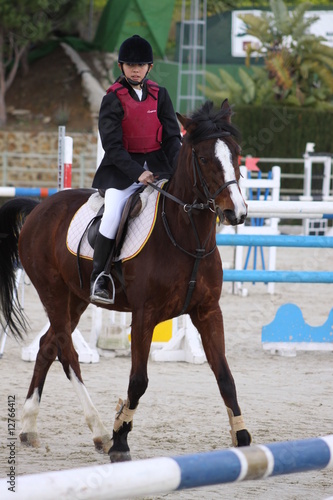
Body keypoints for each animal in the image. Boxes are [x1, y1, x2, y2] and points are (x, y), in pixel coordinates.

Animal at [0, 99, 249, 462]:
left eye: (236, 154)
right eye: (203, 158)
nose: (237, 213)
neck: (187, 238)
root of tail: (39, 208)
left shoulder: (208, 313)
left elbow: (225, 376)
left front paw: (242, 437)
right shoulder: (145, 316)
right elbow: (138, 381)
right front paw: (120, 438)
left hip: (76, 298)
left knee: (48, 345)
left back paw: (30, 427)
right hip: (53, 293)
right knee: (66, 352)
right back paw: (101, 431)